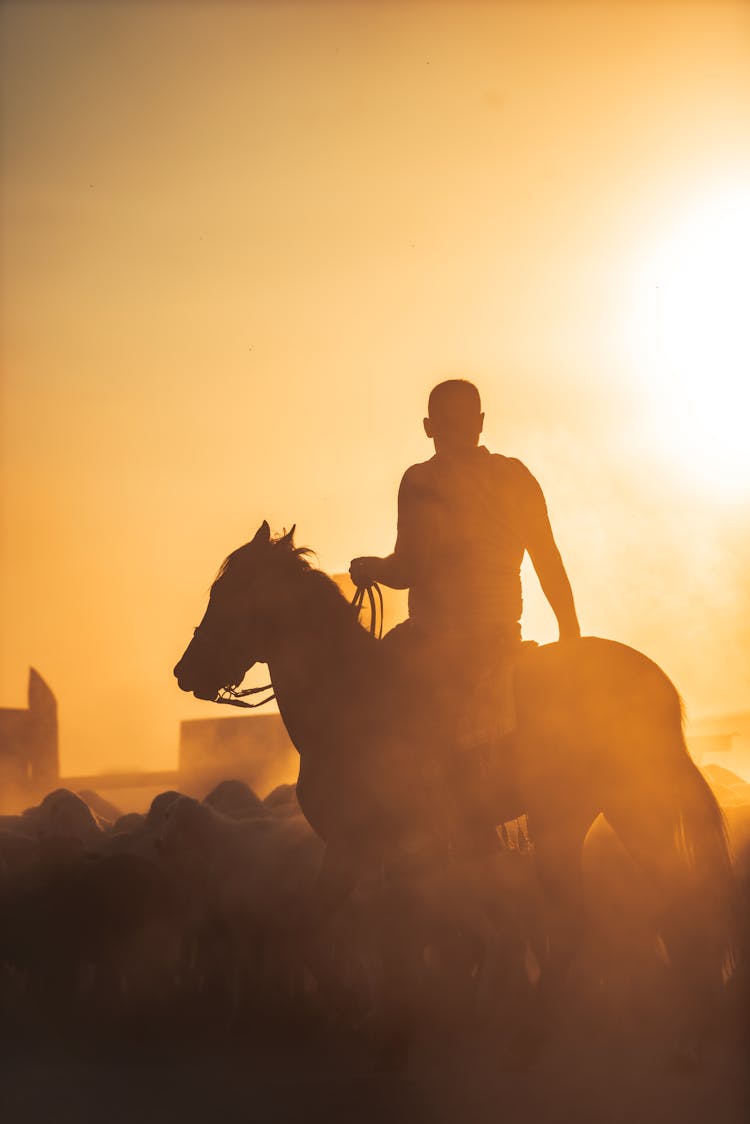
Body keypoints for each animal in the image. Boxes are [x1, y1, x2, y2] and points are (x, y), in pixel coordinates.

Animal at [174, 519, 733, 1061]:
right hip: (609, 814)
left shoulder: (371, 847)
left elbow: (383, 935)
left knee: (614, 911)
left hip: (585, 816)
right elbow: (357, 930)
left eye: (226, 591)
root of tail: (655, 683)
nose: (185, 671)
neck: (347, 699)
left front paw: (380, 1015)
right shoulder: (365, 851)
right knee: (660, 902)